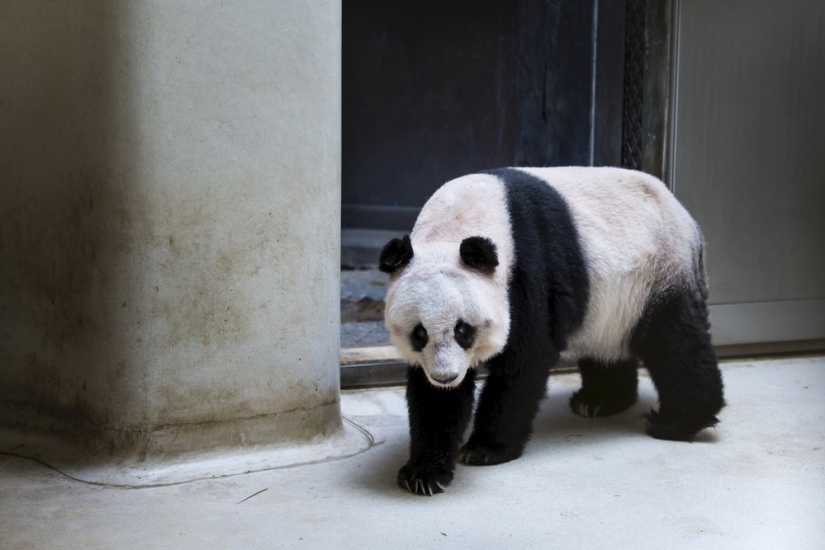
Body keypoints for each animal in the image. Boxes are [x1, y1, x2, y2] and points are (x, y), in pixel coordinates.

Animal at [379, 167, 725, 497]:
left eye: (463, 330)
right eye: (419, 333)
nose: (446, 377)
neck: (456, 223)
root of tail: (686, 218)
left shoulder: (528, 272)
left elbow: (524, 362)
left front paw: (486, 449)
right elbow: (433, 400)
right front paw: (424, 473)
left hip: (659, 271)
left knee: (675, 342)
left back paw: (676, 422)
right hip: (611, 303)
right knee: (608, 347)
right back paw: (600, 401)